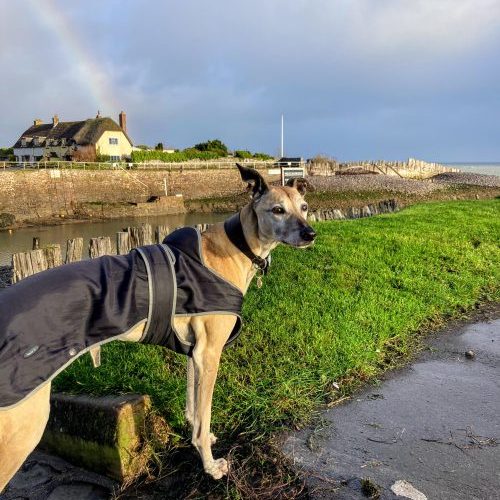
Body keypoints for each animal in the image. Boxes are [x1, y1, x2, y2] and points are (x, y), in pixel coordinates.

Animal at [0, 165, 314, 488]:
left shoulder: (195, 353)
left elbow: (194, 407)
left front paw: (200, 435)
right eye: (277, 210)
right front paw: (210, 465)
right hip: (22, 425)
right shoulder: (210, 354)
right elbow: (204, 412)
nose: (310, 234)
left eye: (304, 207)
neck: (235, 245)